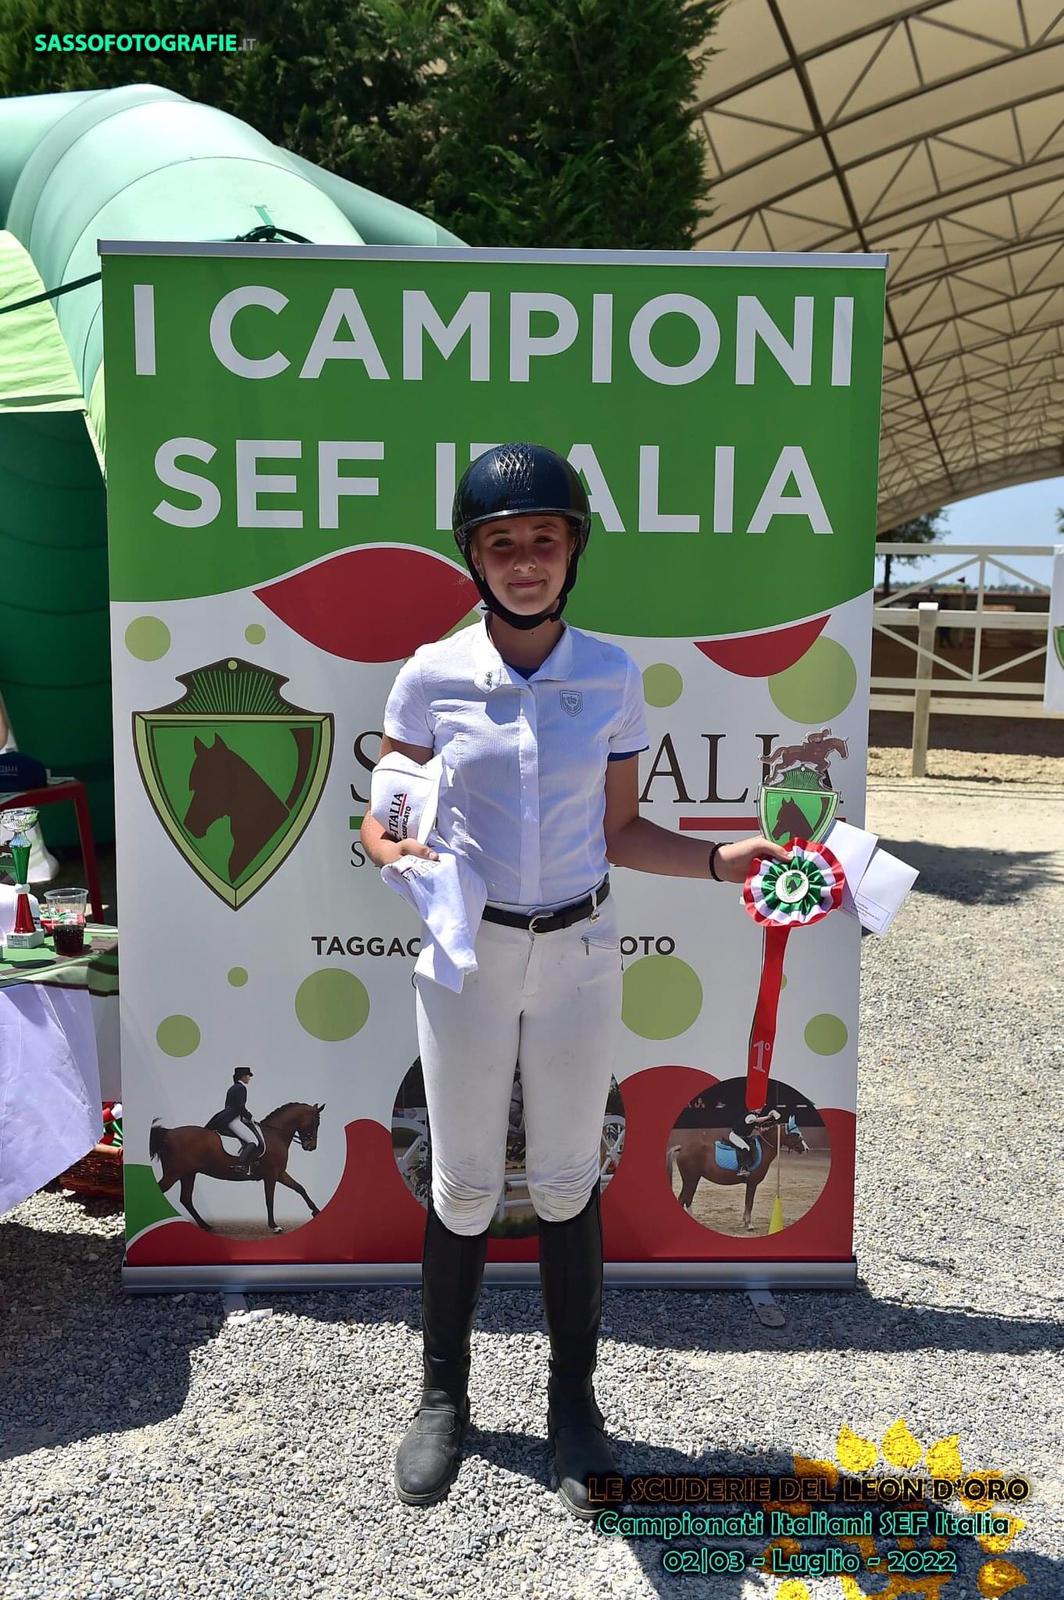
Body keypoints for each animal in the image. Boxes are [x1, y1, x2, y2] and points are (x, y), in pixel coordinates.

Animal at [149, 1101, 325, 1234]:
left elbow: (300, 1188)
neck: (275, 1135)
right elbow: (269, 1199)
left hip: (188, 1174)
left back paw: (206, 1226)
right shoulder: (271, 1175)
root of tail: (168, 1133)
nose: (311, 1146)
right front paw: (274, 1226)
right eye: (316, 1122)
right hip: (174, 1174)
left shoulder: (280, 1173)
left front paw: (315, 1211)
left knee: (186, 1199)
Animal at [666, 1116, 808, 1233]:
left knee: (686, 1199)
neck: (763, 1148)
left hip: (692, 1180)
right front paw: (749, 1225)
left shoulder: (750, 1184)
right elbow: (749, 1203)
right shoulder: (752, 1183)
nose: (806, 1149)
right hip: (691, 1179)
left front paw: (745, 1222)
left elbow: (747, 1202)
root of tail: (683, 1148)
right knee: (685, 1199)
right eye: (796, 1134)